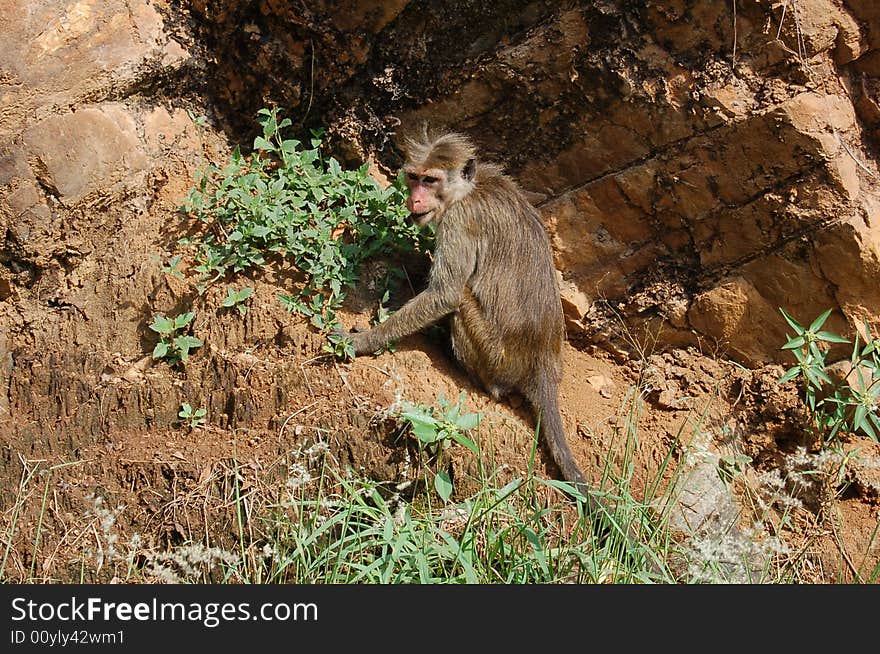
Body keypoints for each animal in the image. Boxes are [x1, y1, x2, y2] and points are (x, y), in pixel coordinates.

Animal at [336, 132, 620, 532]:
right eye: (414, 178)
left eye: (431, 180)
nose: (414, 199)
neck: (466, 191)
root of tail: (544, 363)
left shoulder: (459, 221)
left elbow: (446, 294)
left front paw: (362, 341)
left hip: (493, 355)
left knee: (462, 305)